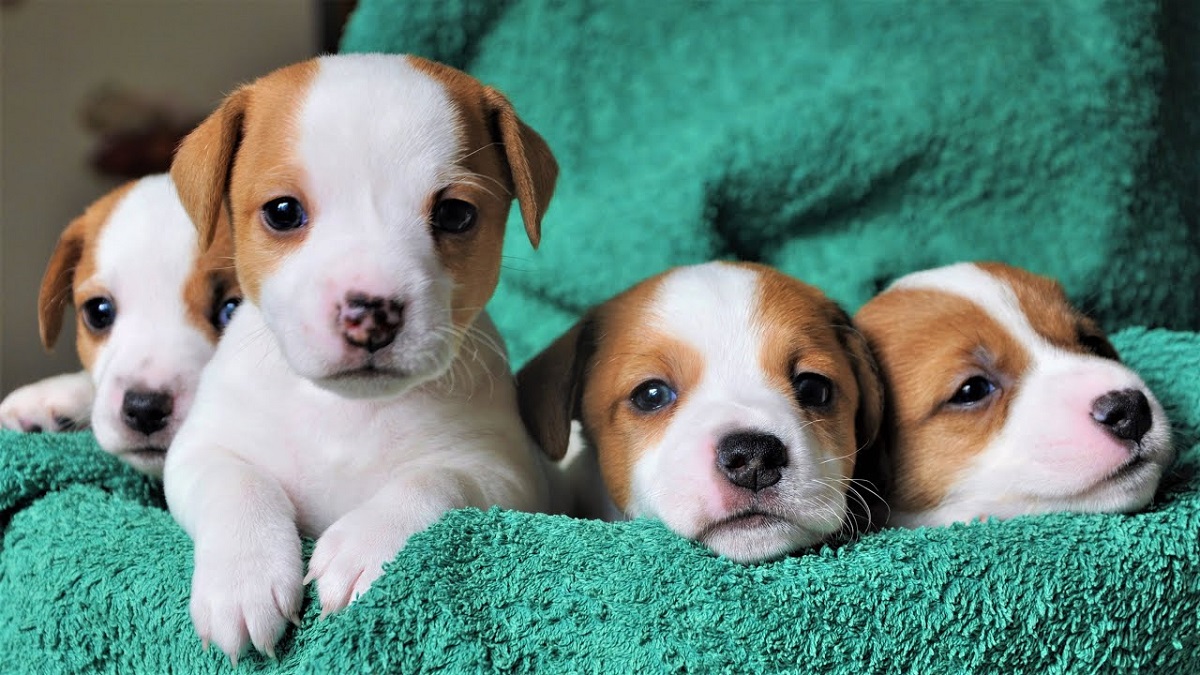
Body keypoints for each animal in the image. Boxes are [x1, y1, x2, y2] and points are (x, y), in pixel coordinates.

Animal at [163, 53, 561, 662]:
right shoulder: (199, 451)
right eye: (283, 211)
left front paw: (365, 544)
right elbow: (237, 483)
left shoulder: (504, 475)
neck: (345, 412)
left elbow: (432, 480)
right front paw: (244, 577)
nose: (371, 312)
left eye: (455, 214)